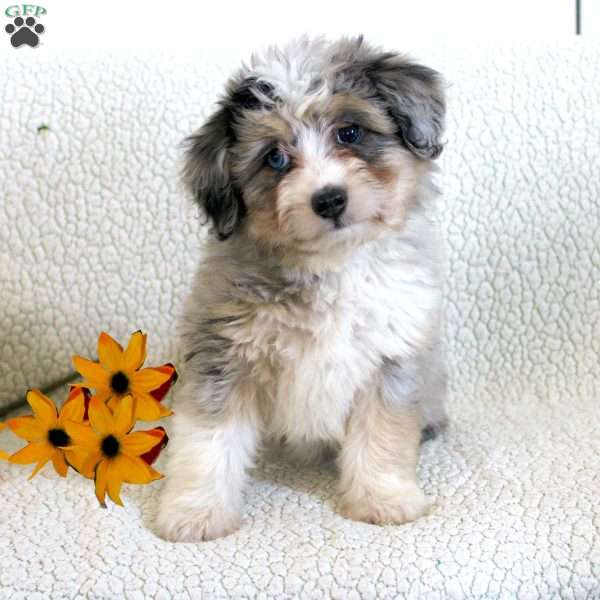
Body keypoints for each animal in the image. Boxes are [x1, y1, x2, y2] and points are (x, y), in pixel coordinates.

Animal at [157, 38, 448, 544]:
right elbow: (207, 440)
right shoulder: (223, 355)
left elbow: (382, 433)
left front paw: (382, 498)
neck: (331, 265)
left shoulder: (391, 358)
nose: (328, 199)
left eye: (349, 132)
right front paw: (195, 511)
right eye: (275, 158)